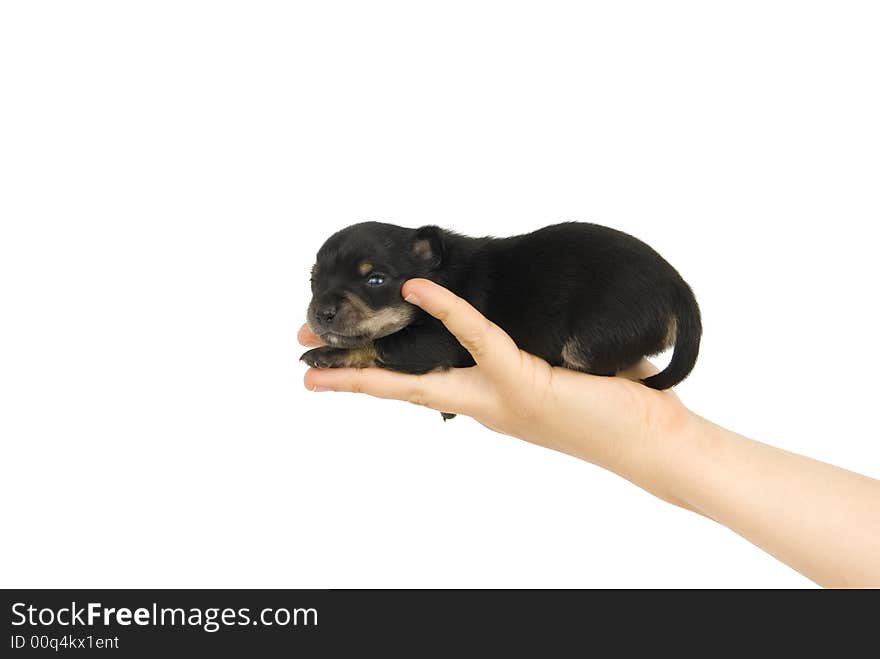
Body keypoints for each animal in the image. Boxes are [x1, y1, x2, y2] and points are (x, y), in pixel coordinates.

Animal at [302, 222, 700, 404]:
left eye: (376, 279)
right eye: (313, 280)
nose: (321, 312)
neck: (442, 274)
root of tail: (680, 292)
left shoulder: (435, 342)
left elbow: (379, 344)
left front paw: (326, 354)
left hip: (592, 337)